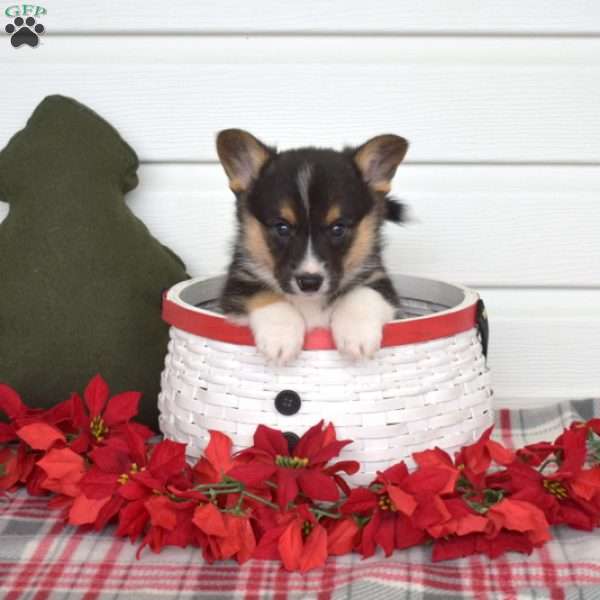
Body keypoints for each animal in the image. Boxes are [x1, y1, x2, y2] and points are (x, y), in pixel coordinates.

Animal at [216, 130, 408, 366]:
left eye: (338, 228)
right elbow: (266, 294)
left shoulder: (379, 280)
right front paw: (280, 338)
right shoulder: (238, 284)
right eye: (282, 227)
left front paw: (357, 336)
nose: (309, 283)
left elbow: (362, 294)